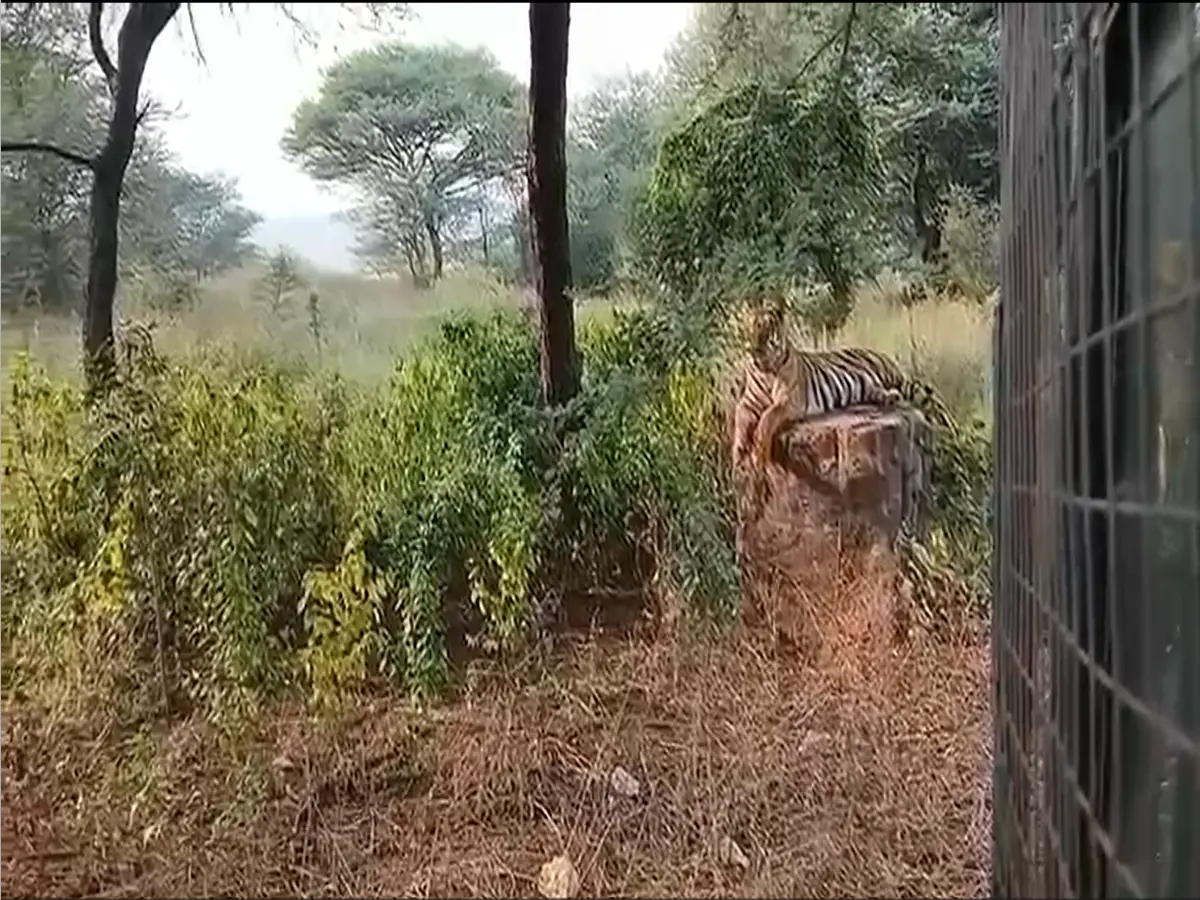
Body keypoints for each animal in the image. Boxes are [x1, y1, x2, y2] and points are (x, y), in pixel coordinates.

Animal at [732, 294, 953, 470]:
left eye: (764, 328)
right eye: (748, 327)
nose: (752, 349)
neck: (766, 369)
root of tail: (882, 355)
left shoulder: (789, 400)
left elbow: (767, 417)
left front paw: (758, 452)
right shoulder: (748, 401)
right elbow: (739, 418)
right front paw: (738, 449)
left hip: (893, 377)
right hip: (870, 387)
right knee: (880, 392)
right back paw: (889, 397)